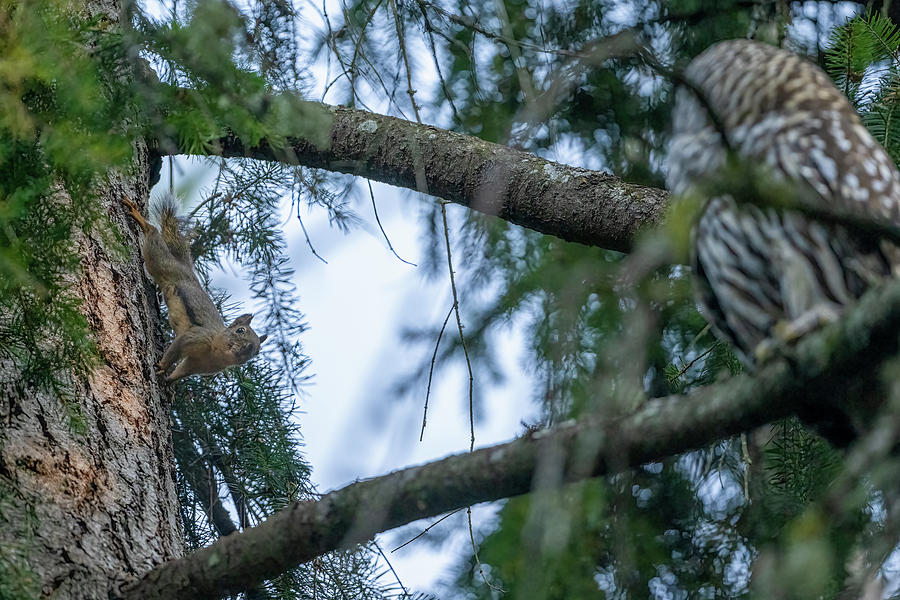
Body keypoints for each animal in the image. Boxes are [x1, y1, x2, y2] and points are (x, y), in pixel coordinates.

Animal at [122, 195, 268, 382]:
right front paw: (162, 367)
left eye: (256, 351)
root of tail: (185, 267)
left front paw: (168, 383)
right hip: (161, 263)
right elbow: (176, 348)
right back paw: (139, 218)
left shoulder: (195, 365)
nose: (245, 349)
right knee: (154, 237)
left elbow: (180, 372)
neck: (215, 352)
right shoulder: (196, 336)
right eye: (240, 330)